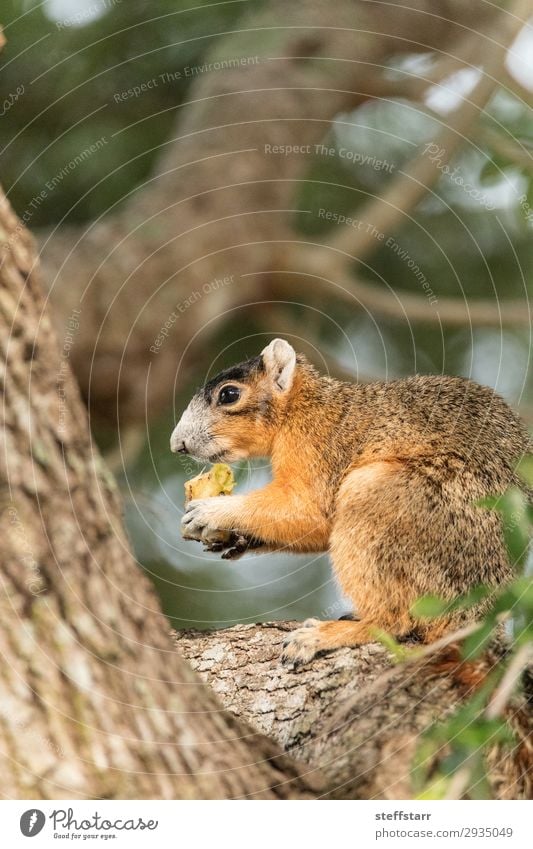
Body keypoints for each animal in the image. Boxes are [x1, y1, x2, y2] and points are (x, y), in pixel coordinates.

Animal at [170, 338, 528, 664]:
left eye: (229, 394)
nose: (177, 445)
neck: (304, 408)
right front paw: (234, 538)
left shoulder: (319, 450)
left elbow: (308, 511)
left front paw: (212, 512)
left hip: (387, 499)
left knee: (395, 622)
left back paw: (329, 634)